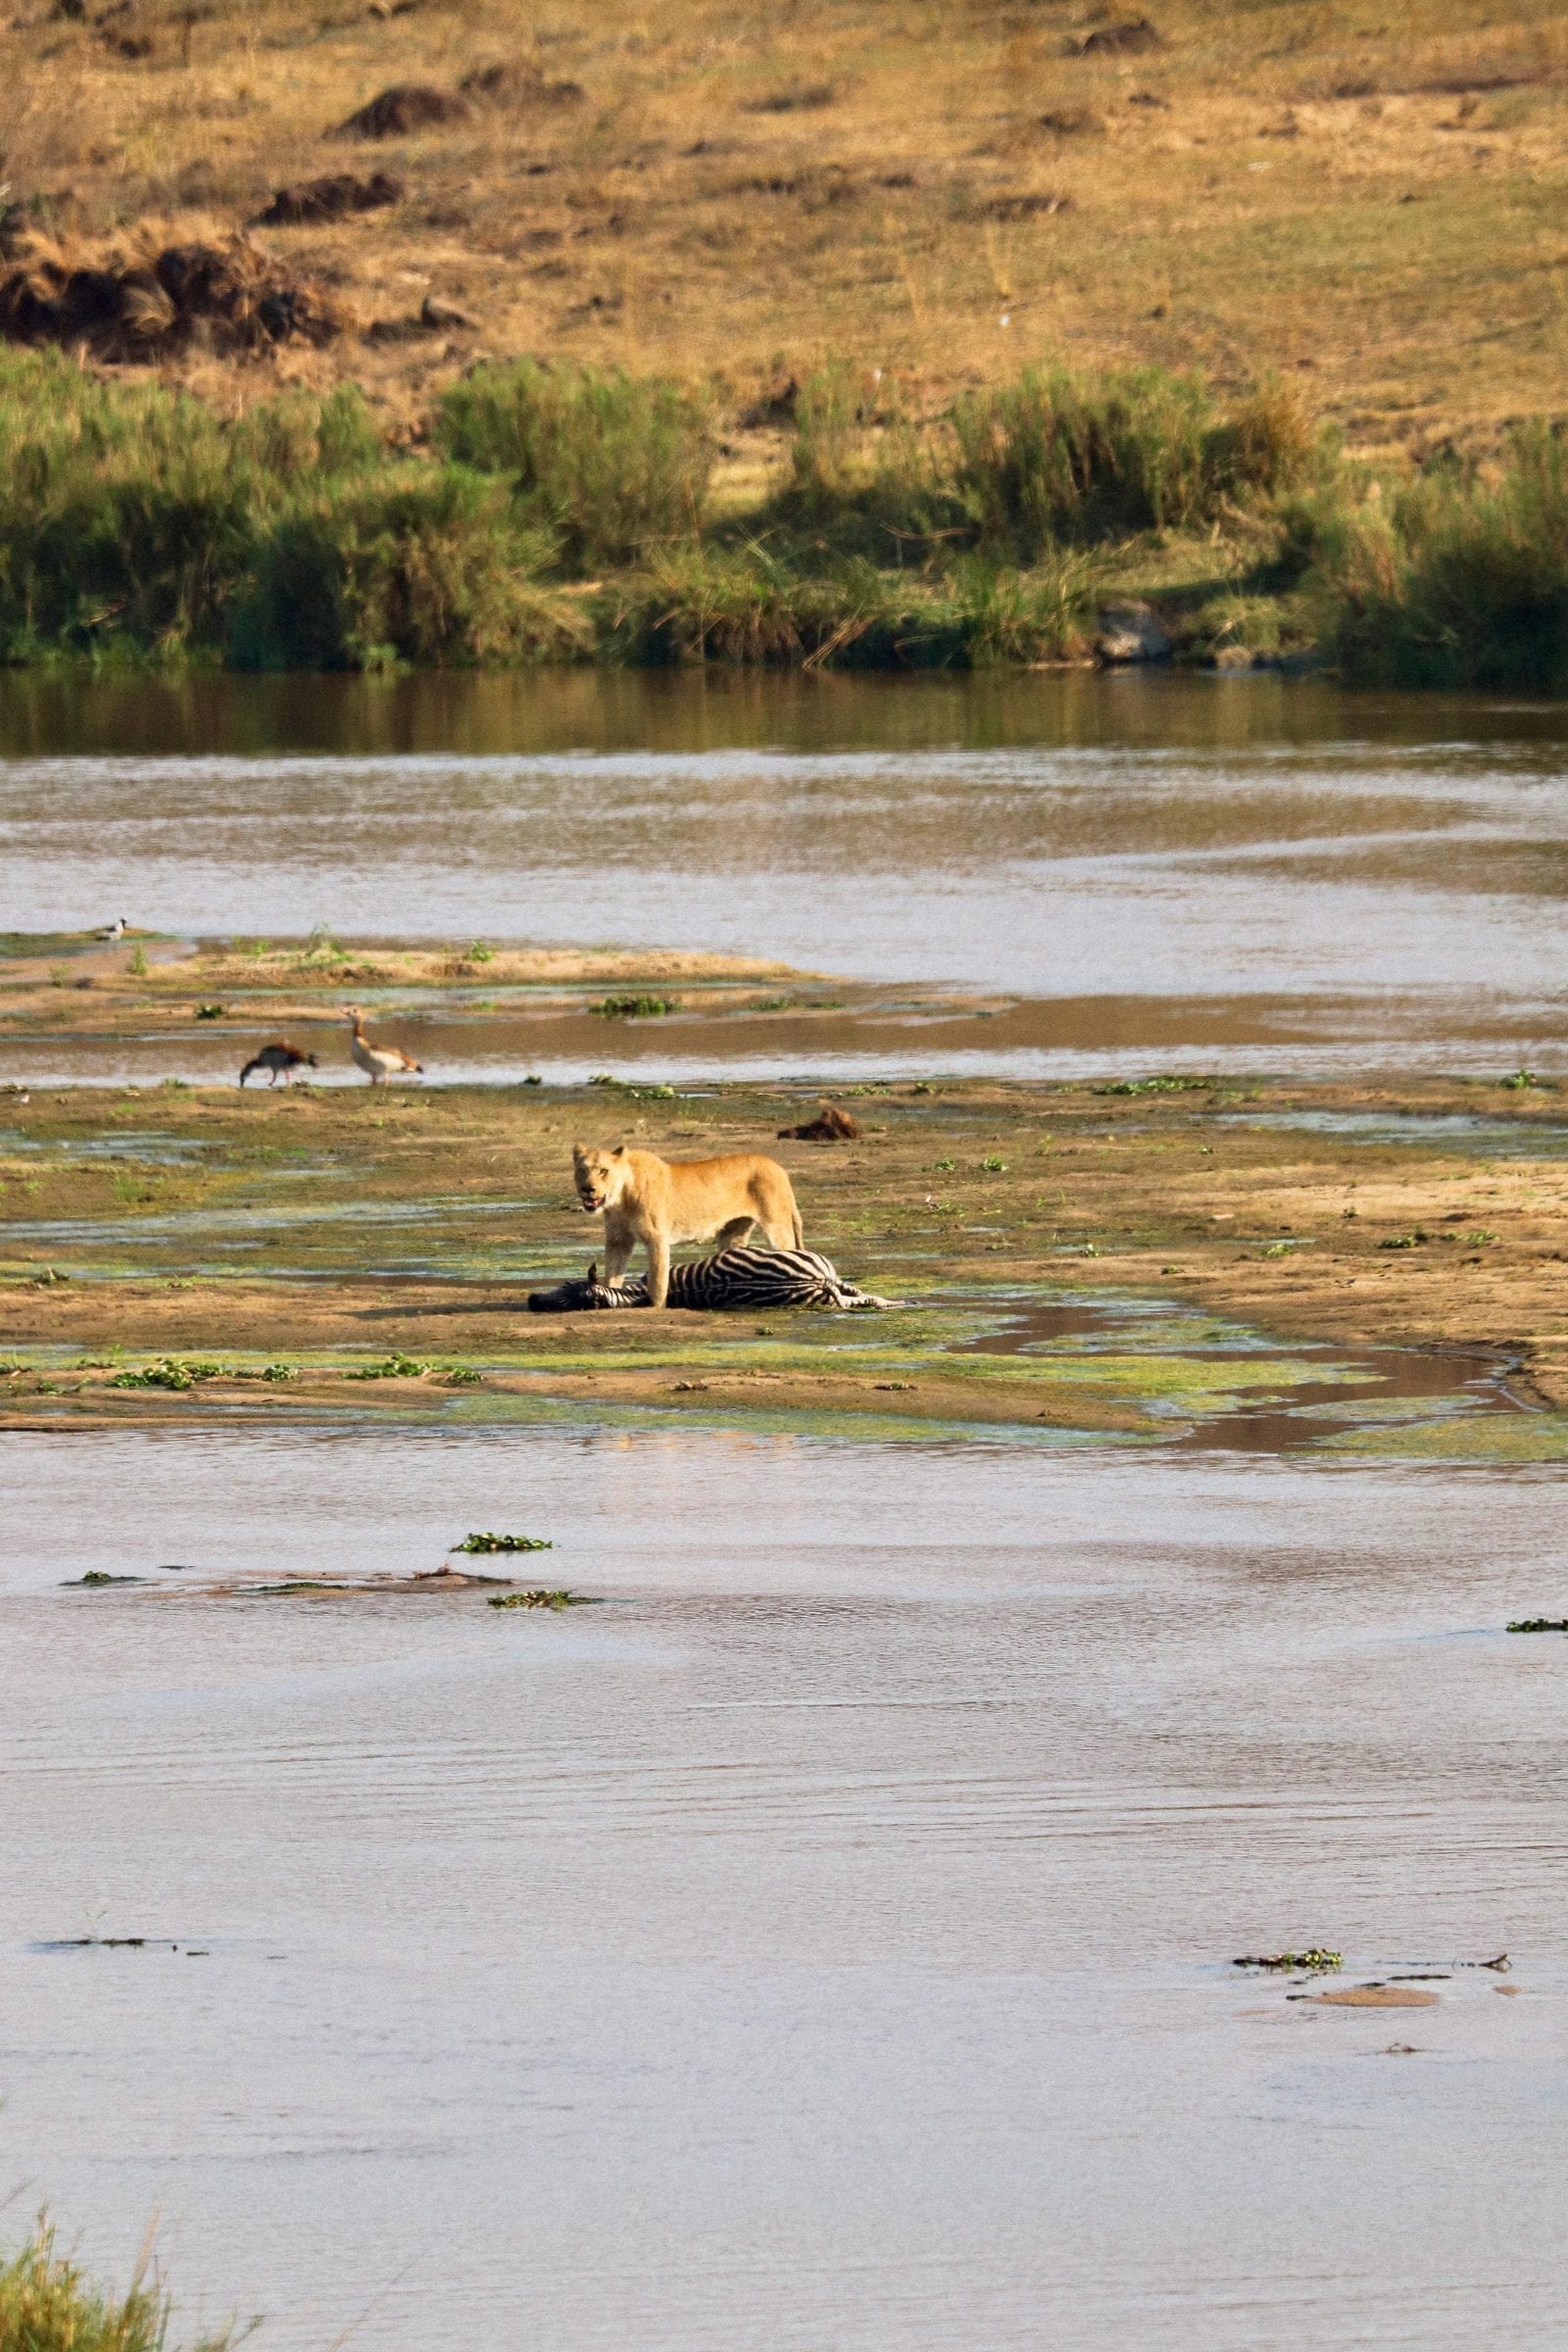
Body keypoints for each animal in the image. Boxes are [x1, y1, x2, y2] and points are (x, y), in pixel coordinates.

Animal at [571, 1141, 803, 1309]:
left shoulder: (657, 1238)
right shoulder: (618, 1240)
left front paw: (655, 1307)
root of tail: (779, 1167)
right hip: (733, 1232)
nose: (587, 1189)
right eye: (582, 1170)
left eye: (604, 1171)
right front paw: (608, 1296)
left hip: (776, 1225)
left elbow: (658, 1280)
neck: (620, 1199)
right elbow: (613, 1273)